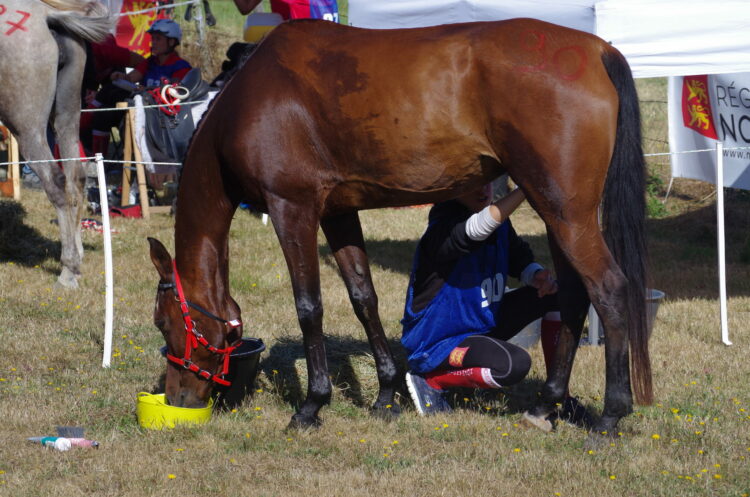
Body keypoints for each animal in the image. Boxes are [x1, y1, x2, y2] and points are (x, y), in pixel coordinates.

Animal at [0, 0, 112, 286]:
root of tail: (47, 16)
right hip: (67, 117)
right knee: (76, 178)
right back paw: (78, 253)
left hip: (28, 128)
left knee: (56, 182)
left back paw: (68, 269)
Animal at [151, 17, 652, 432]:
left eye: (164, 324)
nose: (176, 398)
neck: (249, 100)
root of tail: (596, 50)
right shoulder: (337, 212)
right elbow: (363, 297)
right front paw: (387, 394)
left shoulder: (292, 208)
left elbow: (309, 307)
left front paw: (312, 405)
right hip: (557, 214)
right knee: (572, 296)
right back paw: (547, 404)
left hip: (567, 215)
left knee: (608, 289)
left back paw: (611, 414)